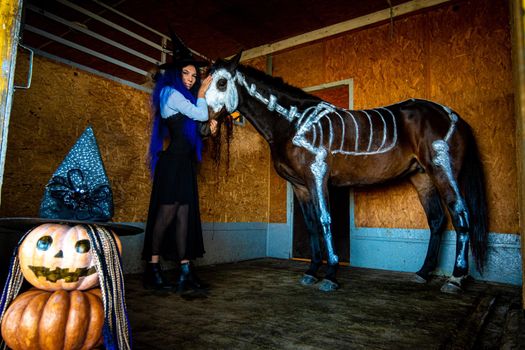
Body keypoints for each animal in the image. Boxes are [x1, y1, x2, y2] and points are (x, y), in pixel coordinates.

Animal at [205, 52, 488, 292]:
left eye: (222, 82)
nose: (204, 124)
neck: (294, 122)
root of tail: (454, 117)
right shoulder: (300, 185)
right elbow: (311, 224)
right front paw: (311, 271)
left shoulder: (317, 176)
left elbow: (325, 220)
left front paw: (330, 275)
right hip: (422, 177)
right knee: (437, 220)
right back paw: (423, 273)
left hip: (443, 171)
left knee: (462, 215)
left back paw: (455, 279)